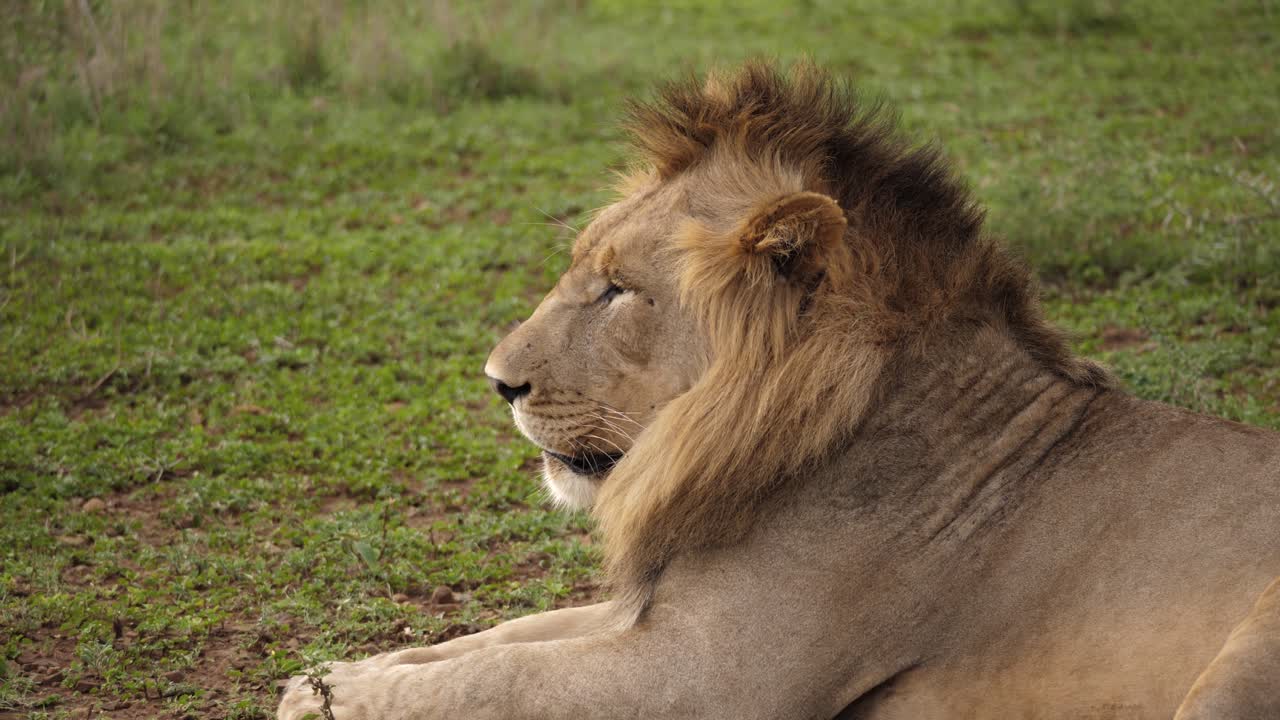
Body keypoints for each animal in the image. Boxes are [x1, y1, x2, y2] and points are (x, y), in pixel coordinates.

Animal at [278, 62, 1280, 719]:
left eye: (617, 290)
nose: (497, 382)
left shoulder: (707, 676)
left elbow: (503, 679)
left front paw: (323, 700)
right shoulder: (650, 613)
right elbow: (493, 639)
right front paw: (339, 675)